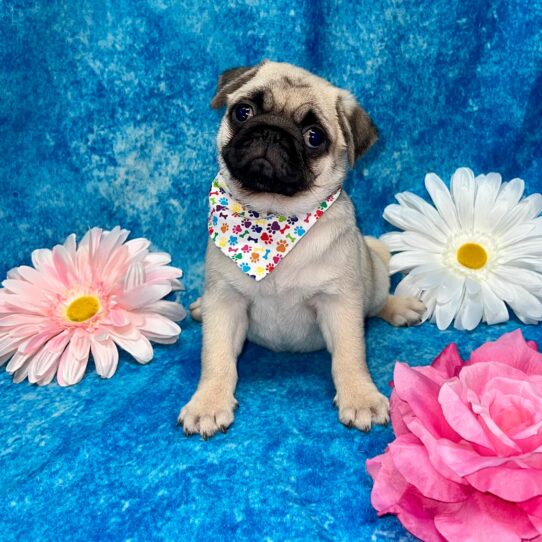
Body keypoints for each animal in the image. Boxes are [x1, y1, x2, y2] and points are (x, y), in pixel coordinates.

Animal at [181, 61, 428, 440]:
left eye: (314, 137)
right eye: (243, 112)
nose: (271, 131)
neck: (270, 218)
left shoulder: (339, 303)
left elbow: (349, 356)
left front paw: (360, 397)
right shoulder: (224, 301)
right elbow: (216, 356)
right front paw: (208, 403)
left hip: (371, 277)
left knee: (377, 300)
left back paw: (399, 307)